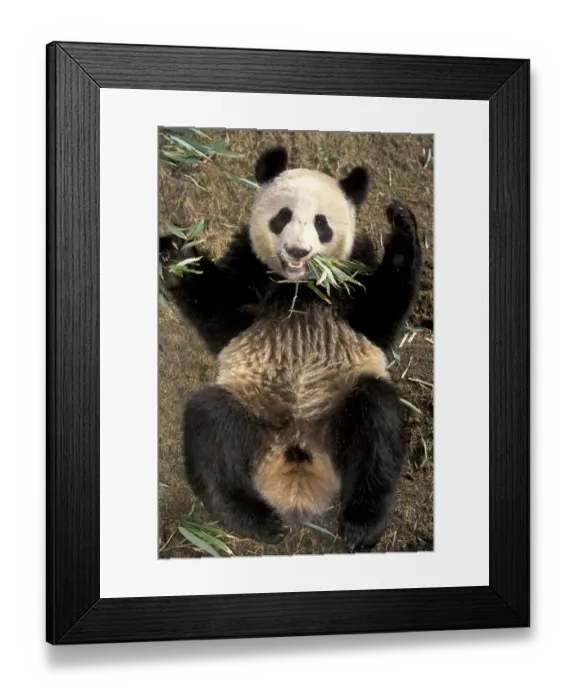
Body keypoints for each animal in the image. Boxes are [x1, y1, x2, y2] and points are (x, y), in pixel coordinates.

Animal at [159, 146, 422, 552]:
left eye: (321, 223)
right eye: (282, 217)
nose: (298, 251)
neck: (299, 287)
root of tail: (297, 457)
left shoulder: (352, 274)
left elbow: (379, 317)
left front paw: (401, 222)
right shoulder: (250, 266)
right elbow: (223, 316)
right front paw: (176, 255)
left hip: (340, 405)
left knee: (377, 425)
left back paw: (360, 524)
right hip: (253, 408)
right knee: (211, 427)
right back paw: (260, 521)